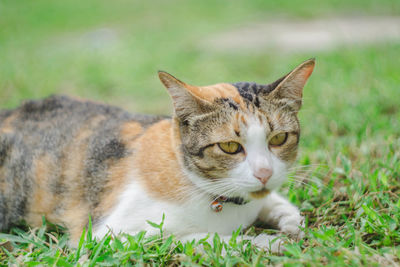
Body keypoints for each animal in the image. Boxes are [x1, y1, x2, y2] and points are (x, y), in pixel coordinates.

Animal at [0, 58, 312, 253]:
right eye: (230, 147)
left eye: (279, 139)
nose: (264, 173)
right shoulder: (109, 237)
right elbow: (203, 238)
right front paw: (264, 243)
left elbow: (275, 203)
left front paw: (291, 220)